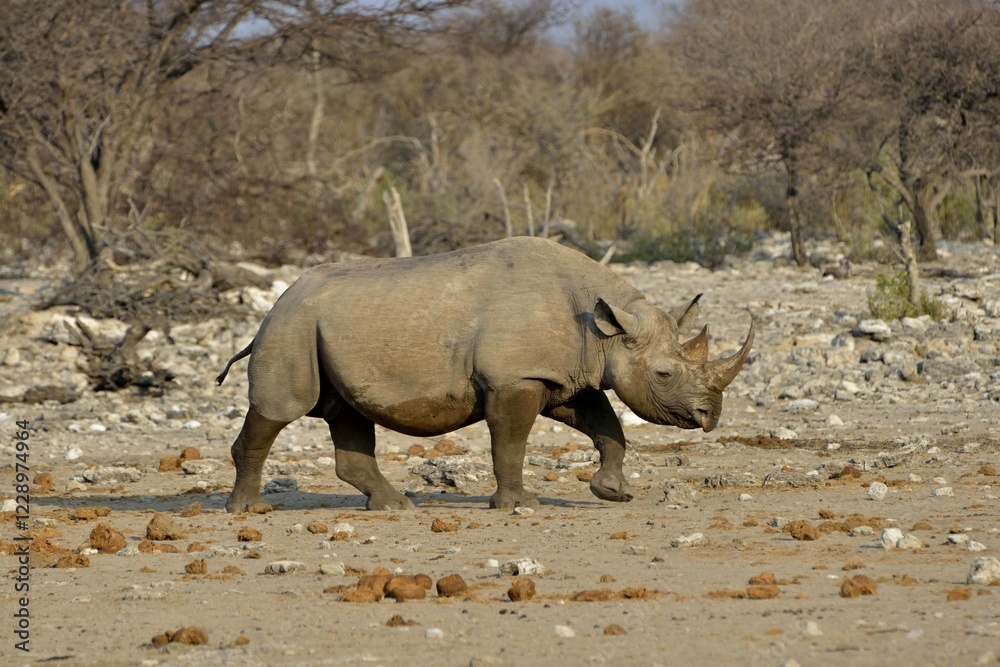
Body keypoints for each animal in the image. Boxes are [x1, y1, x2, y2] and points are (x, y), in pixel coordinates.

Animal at [217, 236, 753, 513]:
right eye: (663, 373)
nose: (710, 416)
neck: (607, 331)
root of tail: (278, 301)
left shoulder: (561, 376)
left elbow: (608, 426)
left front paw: (613, 492)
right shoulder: (515, 378)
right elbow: (510, 442)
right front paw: (519, 505)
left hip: (325, 326)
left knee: (346, 412)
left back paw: (394, 507)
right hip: (291, 325)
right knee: (282, 407)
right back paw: (249, 511)